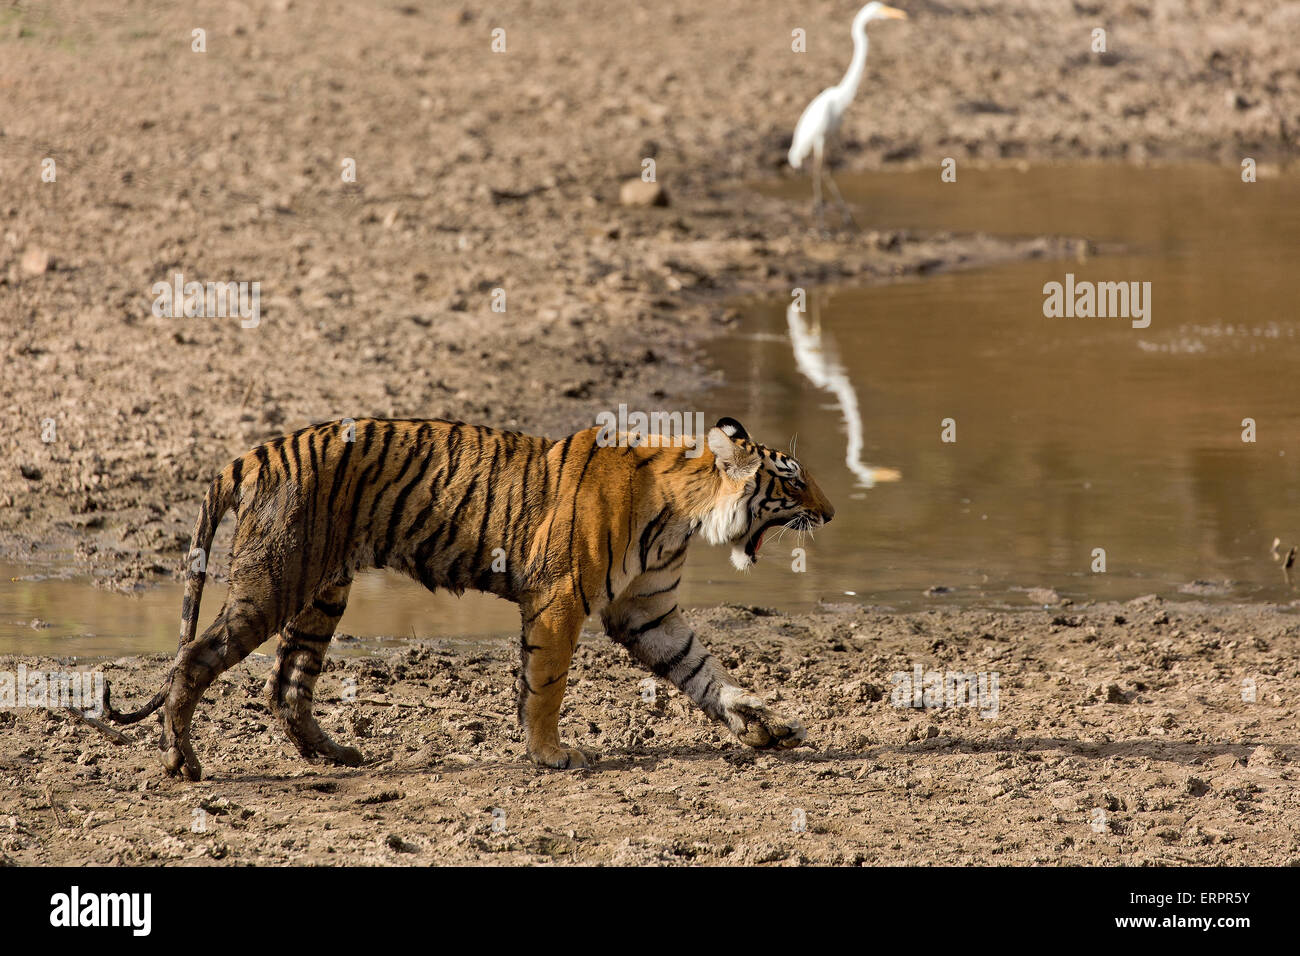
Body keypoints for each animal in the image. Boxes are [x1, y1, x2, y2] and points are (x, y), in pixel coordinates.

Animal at [98, 413, 832, 780]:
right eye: (793, 482)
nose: (829, 514)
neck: (684, 511)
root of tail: (251, 455)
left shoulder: (647, 612)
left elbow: (702, 671)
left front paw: (766, 727)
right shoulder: (560, 599)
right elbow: (546, 683)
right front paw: (551, 755)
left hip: (321, 592)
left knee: (286, 685)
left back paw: (337, 756)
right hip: (272, 586)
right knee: (192, 660)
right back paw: (184, 762)